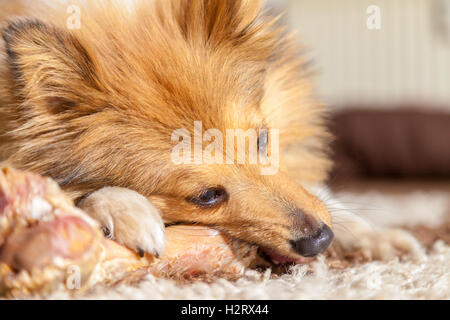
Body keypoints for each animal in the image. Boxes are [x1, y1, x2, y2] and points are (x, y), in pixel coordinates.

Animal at [0, 0, 422, 264]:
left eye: (262, 140)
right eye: (206, 196)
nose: (320, 239)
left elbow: (321, 195)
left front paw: (374, 236)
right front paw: (128, 210)